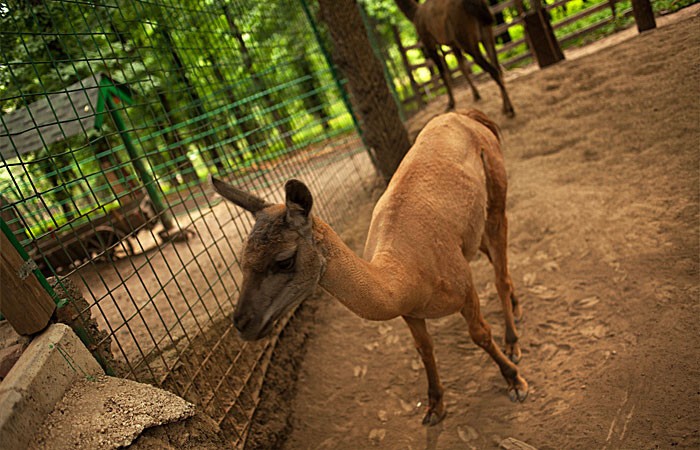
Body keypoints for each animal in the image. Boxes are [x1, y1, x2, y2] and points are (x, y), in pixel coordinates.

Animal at [211, 109, 528, 426]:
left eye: (284, 260)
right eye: (242, 261)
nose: (242, 323)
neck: (406, 277)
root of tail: (464, 114)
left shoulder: (464, 286)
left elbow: (480, 333)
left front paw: (515, 381)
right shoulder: (411, 312)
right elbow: (424, 349)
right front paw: (434, 406)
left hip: (496, 197)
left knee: (500, 272)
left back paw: (512, 340)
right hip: (474, 230)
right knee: (492, 257)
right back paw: (515, 308)